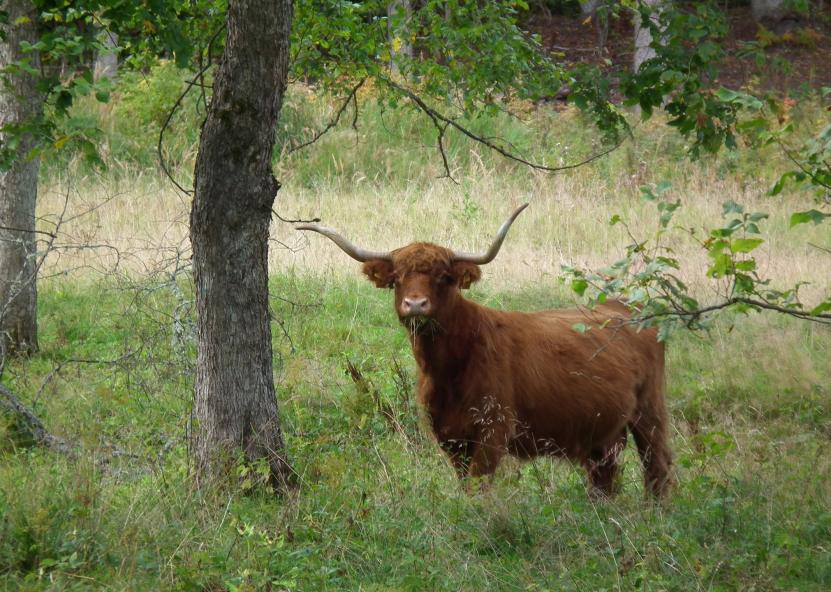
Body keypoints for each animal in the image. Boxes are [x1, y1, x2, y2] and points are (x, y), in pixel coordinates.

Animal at [302, 206, 672, 498]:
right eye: (397, 278)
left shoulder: (494, 429)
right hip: (604, 429)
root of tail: (631, 307)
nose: (416, 304)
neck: (447, 370)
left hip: (649, 409)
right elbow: (465, 484)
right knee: (605, 474)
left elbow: (478, 485)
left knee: (658, 465)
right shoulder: (449, 435)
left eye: (444, 277)